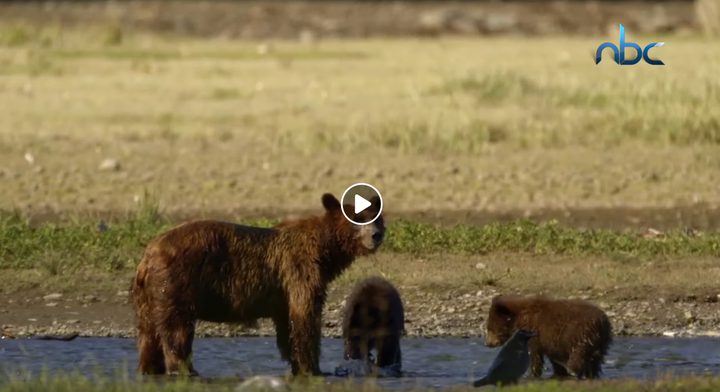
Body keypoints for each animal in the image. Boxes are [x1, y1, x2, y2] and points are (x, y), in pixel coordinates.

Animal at [132, 193, 386, 376]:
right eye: (358, 219)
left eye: (377, 218)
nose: (376, 235)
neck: (325, 251)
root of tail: (148, 254)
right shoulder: (299, 271)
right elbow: (305, 317)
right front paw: (313, 368)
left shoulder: (283, 292)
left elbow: (287, 326)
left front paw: (297, 364)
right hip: (178, 282)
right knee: (177, 329)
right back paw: (185, 369)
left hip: (148, 295)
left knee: (149, 333)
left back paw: (150, 368)